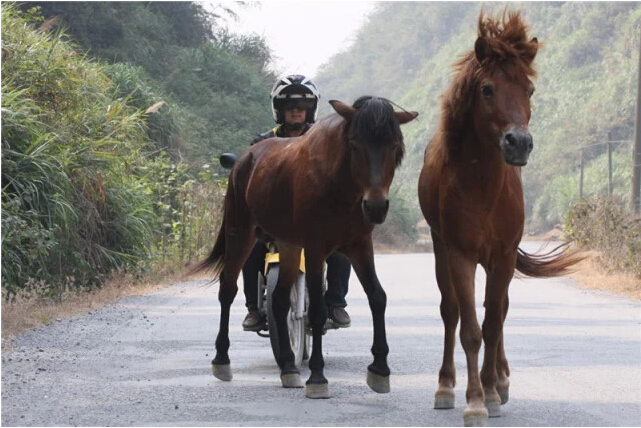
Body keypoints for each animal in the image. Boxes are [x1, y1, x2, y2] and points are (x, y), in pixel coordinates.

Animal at [190, 96, 418, 398]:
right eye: (355, 145)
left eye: (394, 146)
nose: (376, 206)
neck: (339, 186)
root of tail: (244, 160)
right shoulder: (314, 248)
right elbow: (317, 312)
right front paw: (318, 378)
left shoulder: (359, 246)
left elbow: (377, 297)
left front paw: (380, 369)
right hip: (241, 233)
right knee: (228, 290)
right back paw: (222, 360)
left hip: (287, 244)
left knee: (279, 300)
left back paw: (288, 367)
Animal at [416, 11, 584, 426]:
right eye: (488, 89)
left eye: (529, 89)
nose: (518, 143)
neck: (483, 190)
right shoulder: (460, 254)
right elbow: (470, 330)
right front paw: (474, 401)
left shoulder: (504, 256)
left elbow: (493, 323)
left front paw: (492, 392)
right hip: (442, 249)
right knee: (451, 313)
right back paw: (446, 385)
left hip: (496, 261)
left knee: (501, 310)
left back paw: (501, 379)